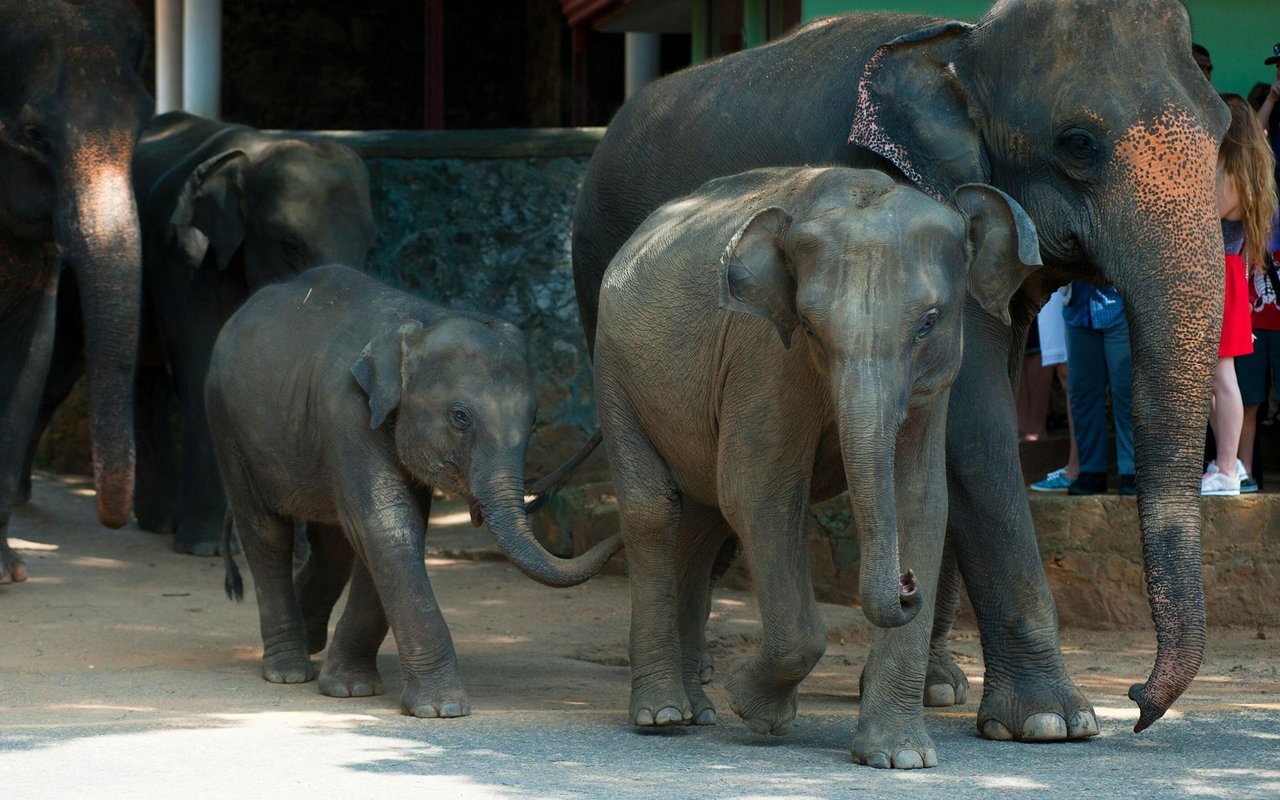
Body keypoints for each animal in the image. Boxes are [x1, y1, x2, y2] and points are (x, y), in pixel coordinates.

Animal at [23, 111, 378, 555]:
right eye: (290, 245)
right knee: (63, 367)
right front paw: (207, 548)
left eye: (369, 247)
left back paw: (157, 523)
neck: (256, 154)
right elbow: (203, 367)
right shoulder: (186, 254)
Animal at [208, 264, 623, 717]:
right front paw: (441, 710)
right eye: (460, 417)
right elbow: (386, 525)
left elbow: (392, 529)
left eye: (533, 420)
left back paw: (311, 641)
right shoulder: (346, 410)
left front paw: (351, 688)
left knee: (332, 543)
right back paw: (289, 670)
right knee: (265, 533)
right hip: (227, 425)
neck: (424, 319)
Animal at [594, 166, 1039, 767]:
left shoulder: (936, 383)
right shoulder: (763, 355)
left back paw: (696, 712)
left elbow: (921, 500)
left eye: (929, 321)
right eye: (807, 324)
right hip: (613, 374)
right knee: (655, 511)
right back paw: (663, 715)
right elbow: (757, 490)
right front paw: (754, 707)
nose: (907, 585)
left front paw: (900, 758)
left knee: (701, 523)